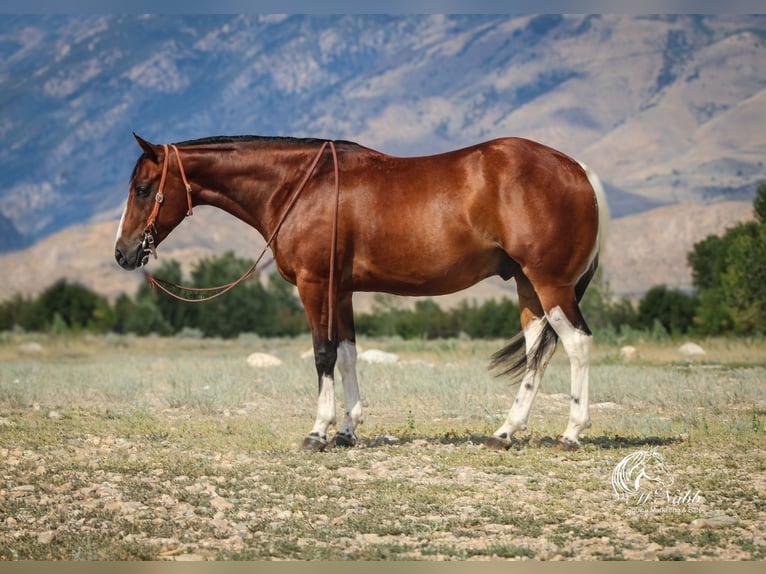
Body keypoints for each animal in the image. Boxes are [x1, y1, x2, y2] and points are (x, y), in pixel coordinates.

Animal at [115, 133, 608, 452]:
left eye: (143, 188)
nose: (123, 253)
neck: (299, 186)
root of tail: (578, 169)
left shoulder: (315, 284)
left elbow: (323, 354)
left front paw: (318, 431)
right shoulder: (342, 291)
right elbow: (348, 353)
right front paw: (348, 430)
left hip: (550, 284)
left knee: (578, 344)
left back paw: (571, 433)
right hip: (528, 286)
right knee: (538, 351)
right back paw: (506, 432)